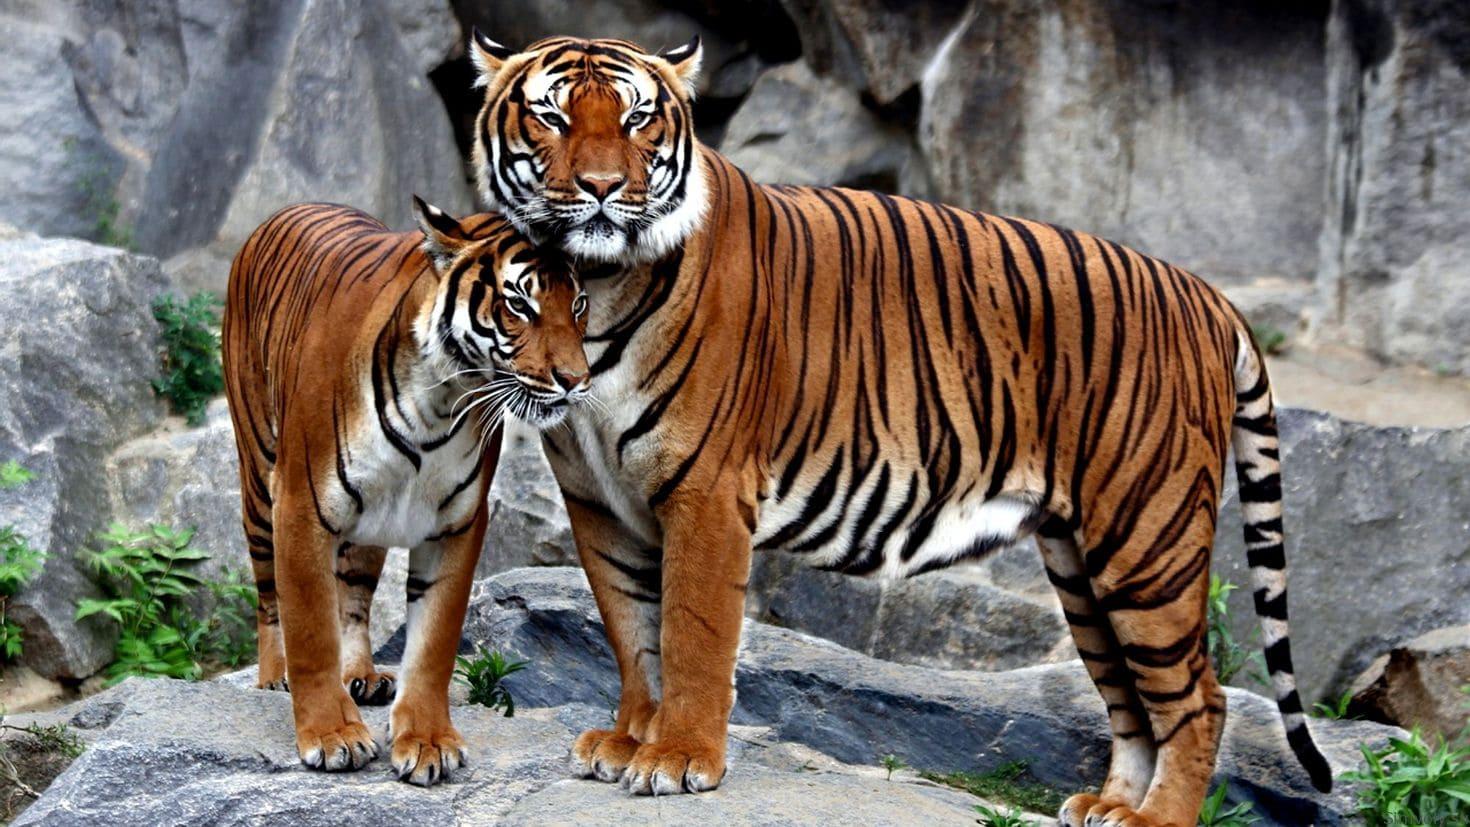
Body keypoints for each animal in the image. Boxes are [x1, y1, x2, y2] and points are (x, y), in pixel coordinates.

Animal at [222, 197, 590, 785]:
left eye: (578, 305)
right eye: (519, 304)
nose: (576, 381)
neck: (440, 399)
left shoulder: (456, 523)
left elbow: (432, 643)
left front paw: (428, 741)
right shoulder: (301, 506)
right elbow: (310, 629)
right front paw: (332, 735)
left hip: (368, 524)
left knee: (351, 597)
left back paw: (362, 675)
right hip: (259, 480)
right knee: (269, 599)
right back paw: (274, 676)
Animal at [465, 31, 1332, 825]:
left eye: (639, 119)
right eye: (551, 115)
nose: (603, 187)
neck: (594, 285)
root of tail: (1207, 294)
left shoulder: (705, 492)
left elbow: (691, 633)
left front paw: (677, 755)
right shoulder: (599, 500)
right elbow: (631, 630)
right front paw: (626, 739)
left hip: (1146, 537)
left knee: (1201, 697)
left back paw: (1158, 816)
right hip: (1084, 565)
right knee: (1131, 697)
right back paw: (1111, 805)